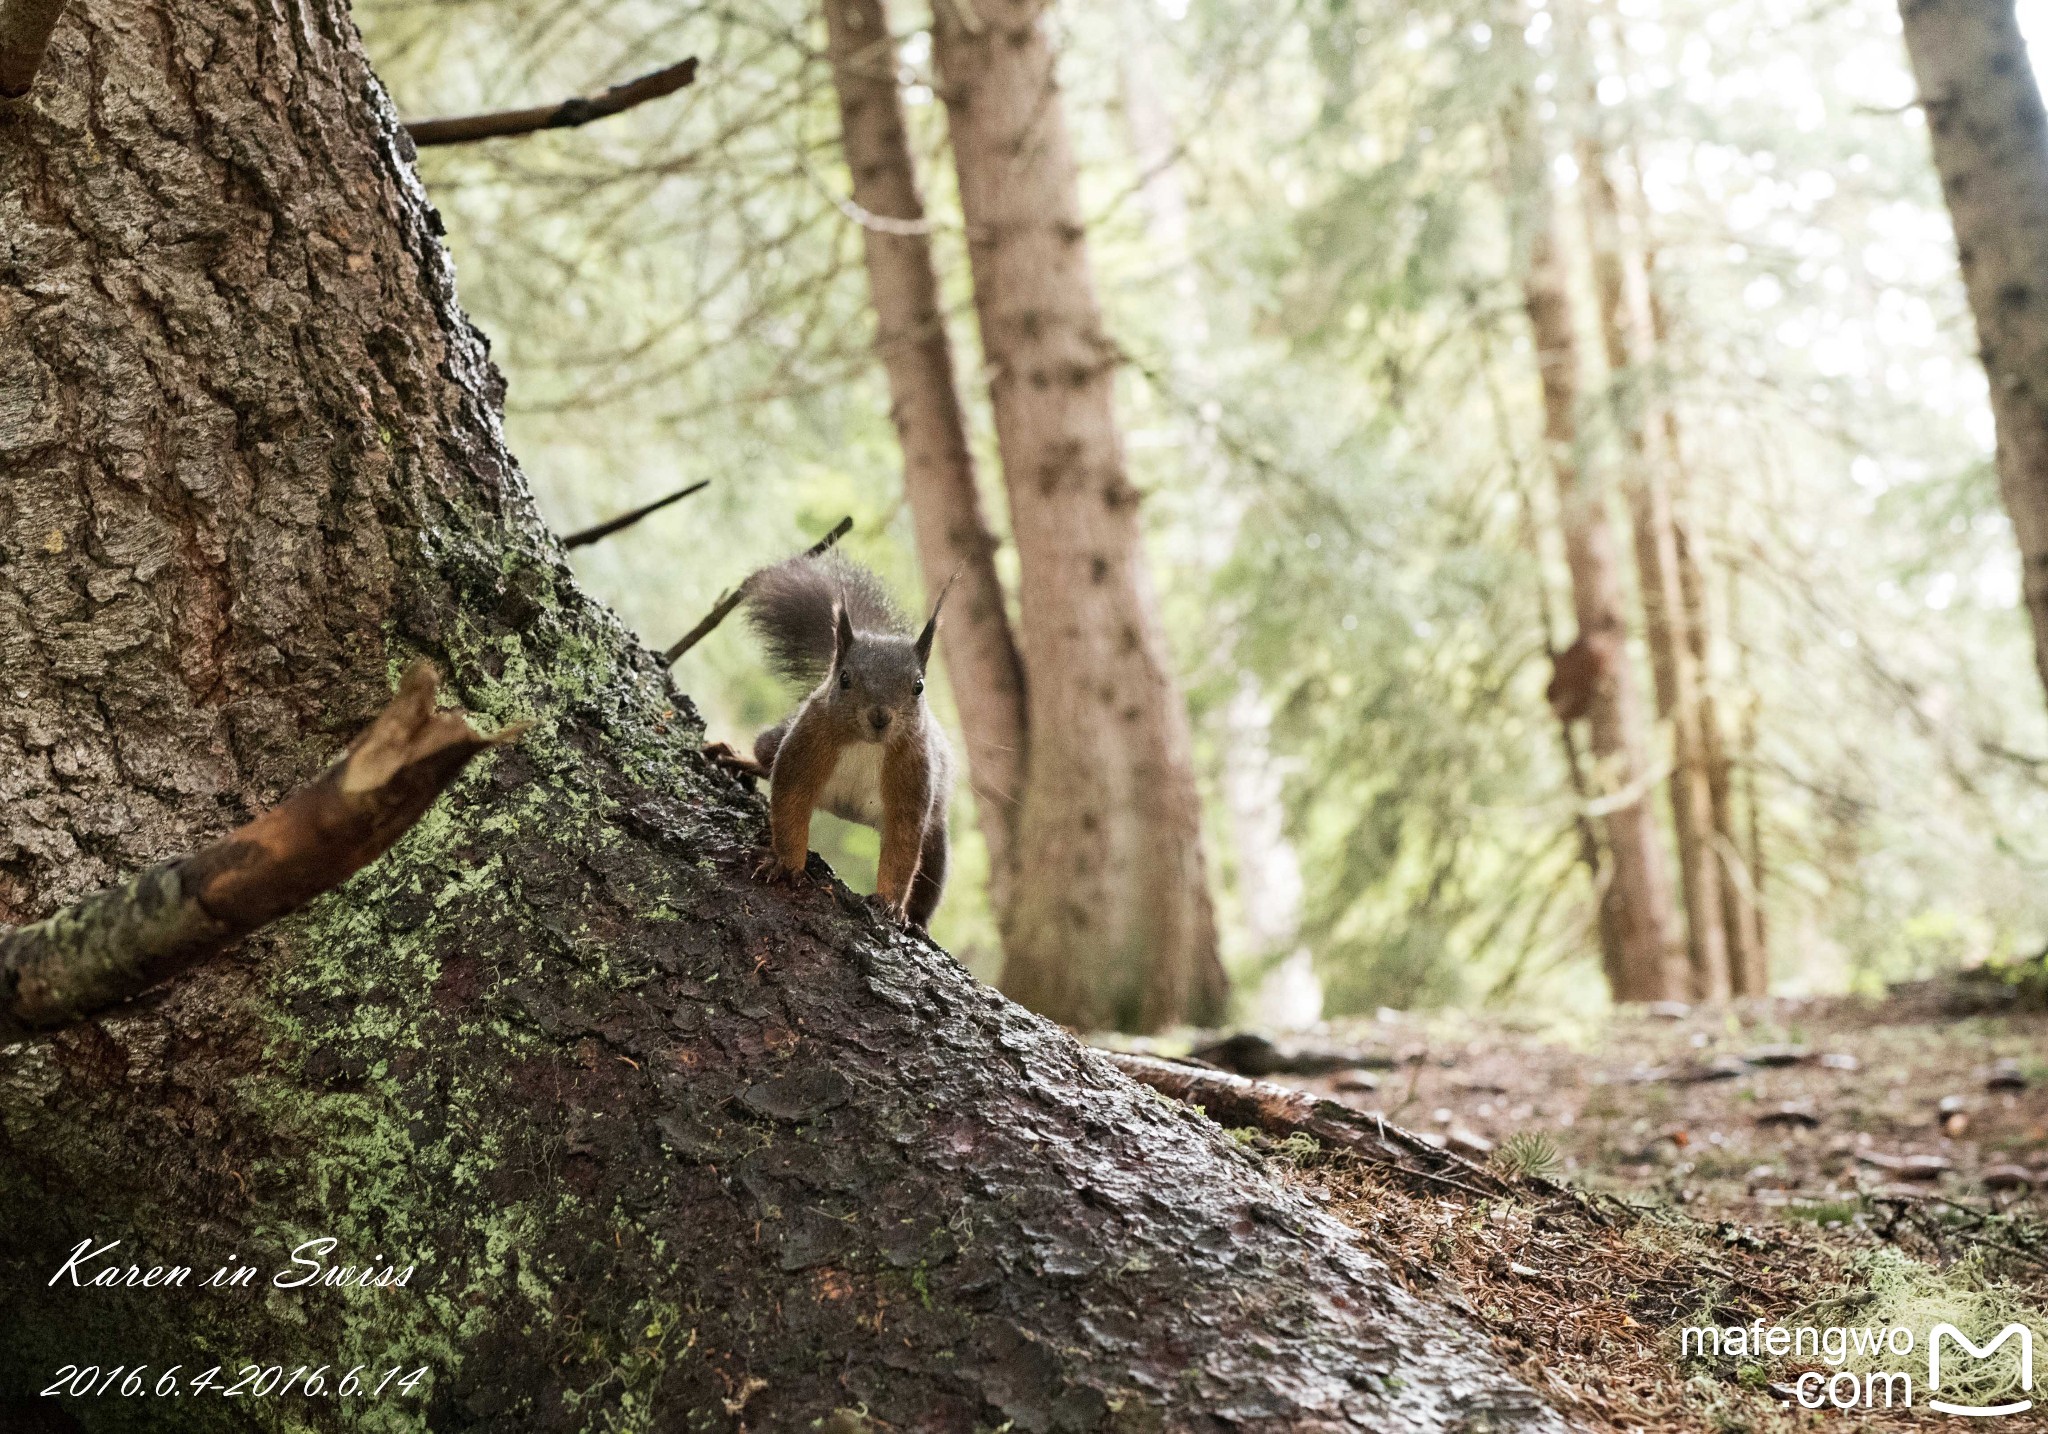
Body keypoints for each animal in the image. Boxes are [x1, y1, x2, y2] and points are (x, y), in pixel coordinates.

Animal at [708, 549, 954, 930]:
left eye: (918, 686)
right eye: (845, 679)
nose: (880, 716)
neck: (867, 745)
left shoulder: (914, 781)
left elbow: (902, 848)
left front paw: (890, 905)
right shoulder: (804, 747)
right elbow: (789, 807)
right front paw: (786, 865)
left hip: (938, 833)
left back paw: (918, 920)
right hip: (777, 738)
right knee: (766, 757)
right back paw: (737, 758)